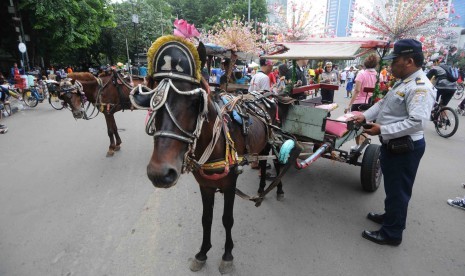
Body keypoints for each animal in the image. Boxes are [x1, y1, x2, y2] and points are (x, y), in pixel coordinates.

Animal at [141, 35, 300, 274]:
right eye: (153, 100)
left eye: (195, 102)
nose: (160, 174)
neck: (214, 142)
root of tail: (269, 96)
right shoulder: (205, 185)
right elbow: (206, 219)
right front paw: (202, 252)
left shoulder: (230, 183)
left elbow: (227, 219)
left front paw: (227, 255)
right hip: (261, 144)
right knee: (263, 164)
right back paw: (261, 191)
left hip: (274, 139)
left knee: (279, 163)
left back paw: (278, 190)